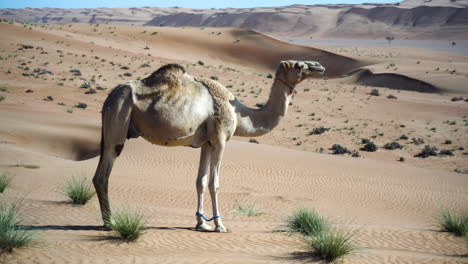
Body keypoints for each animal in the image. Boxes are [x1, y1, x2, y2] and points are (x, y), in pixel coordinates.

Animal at [91, 59, 326, 231]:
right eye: (299, 65)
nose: (320, 66)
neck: (240, 114)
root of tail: (109, 98)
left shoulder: (206, 142)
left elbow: (200, 181)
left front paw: (201, 223)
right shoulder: (220, 139)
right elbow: (215, 183)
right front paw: (220, 225)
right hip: (119, 115)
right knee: (104, 173)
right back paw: (110, 223)